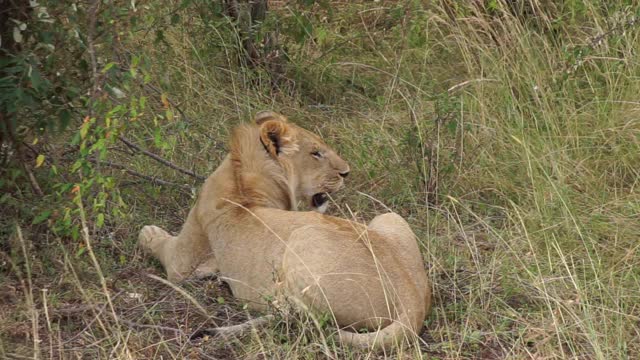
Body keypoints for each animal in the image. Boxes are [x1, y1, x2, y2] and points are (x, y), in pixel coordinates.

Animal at [139, 112, 430, 348]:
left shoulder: (182, 264)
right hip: (388, 217)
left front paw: (148, 232)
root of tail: (413, 299)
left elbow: (156, 241)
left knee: (301, 318)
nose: (347, 173)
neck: (240, 178)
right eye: (316, 153)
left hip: (303, 236)